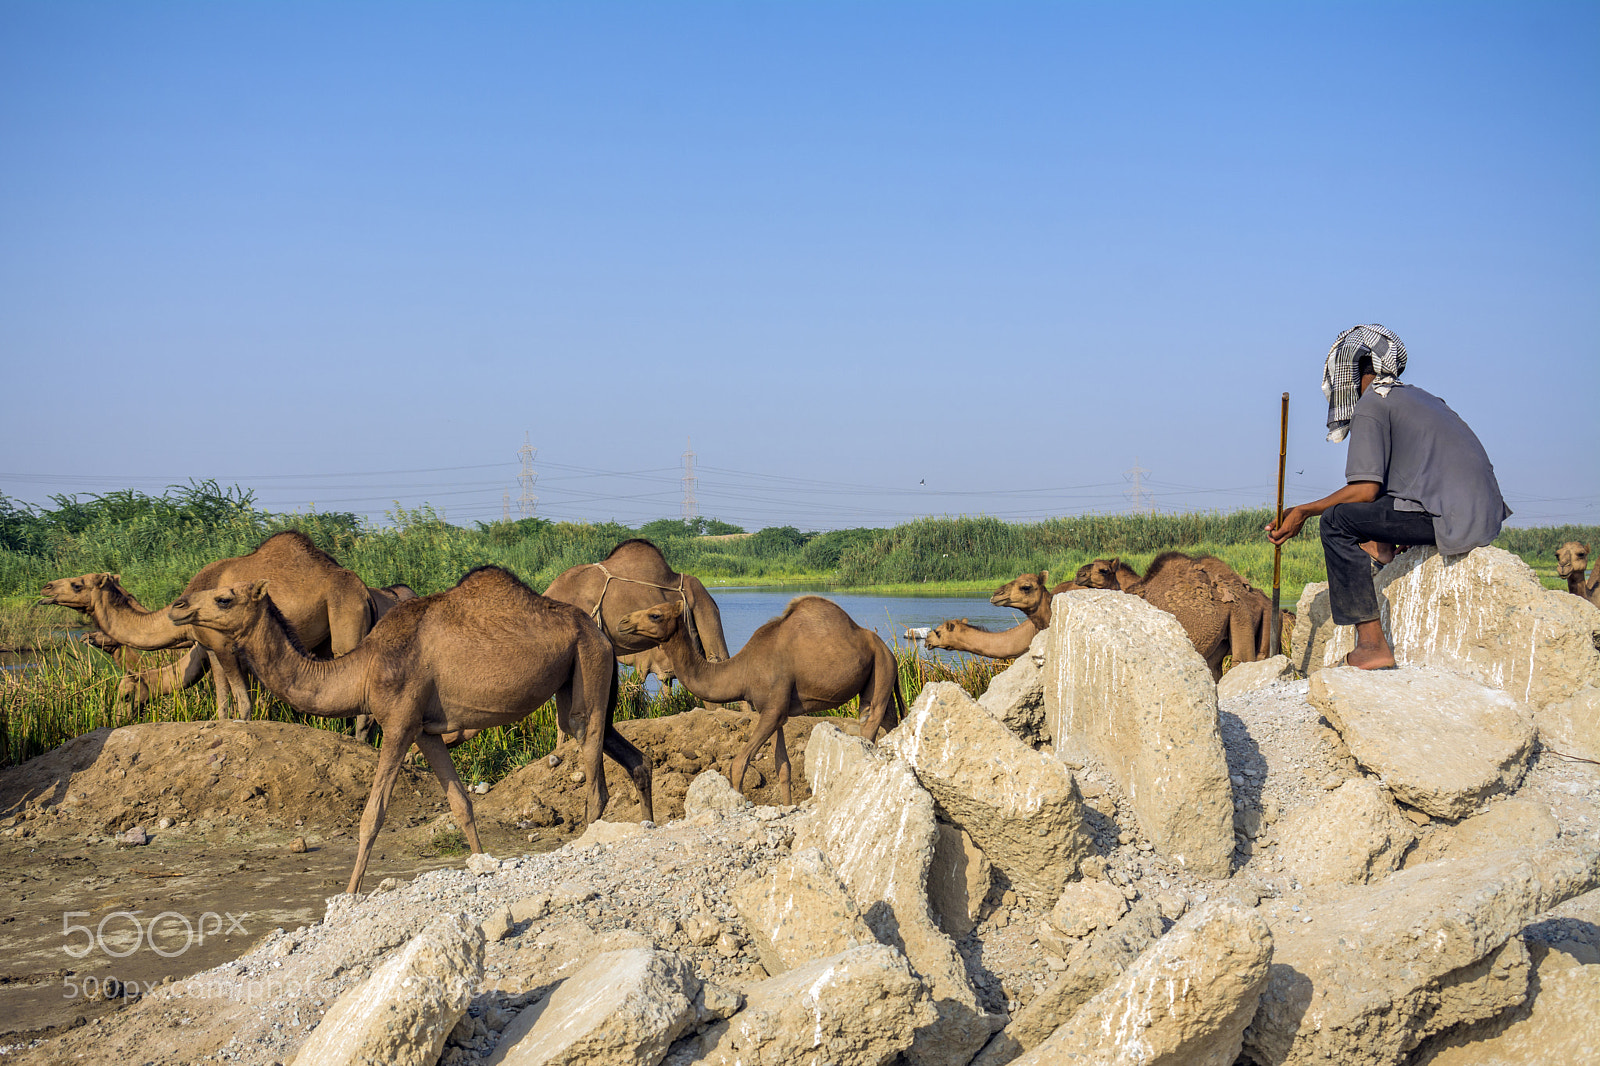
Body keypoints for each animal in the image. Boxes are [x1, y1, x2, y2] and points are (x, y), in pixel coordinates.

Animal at [38, 532, 379, 719]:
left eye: (78, 584)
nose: (46, 588)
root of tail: (366, 592)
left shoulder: (225, 646)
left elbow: (242, 701)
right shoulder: (209, 648)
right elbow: (222, 699)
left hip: (345, 617)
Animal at [167, 566, 651, 894]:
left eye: (225, 598)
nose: (178, 606)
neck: (363, 669)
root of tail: (602, 633)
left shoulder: (398, 723)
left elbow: (372, 815)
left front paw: (348, 894)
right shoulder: (426, 731)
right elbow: (461, 805)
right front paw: (481, 863)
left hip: (587, 664)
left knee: (593, 775)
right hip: (581, 678)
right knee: (634, 757)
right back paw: (647, 826)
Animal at [616, 596, 904, 805]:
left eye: (655, 614)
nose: (623, 621)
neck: (743, 669)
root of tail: (890, 651)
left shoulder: (773, 709)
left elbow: (739, 762)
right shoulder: (775, 710)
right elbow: (783, 767)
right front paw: (787, 806)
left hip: (881, 669)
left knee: (869, 725)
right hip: (880, 678)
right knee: (890, 721)